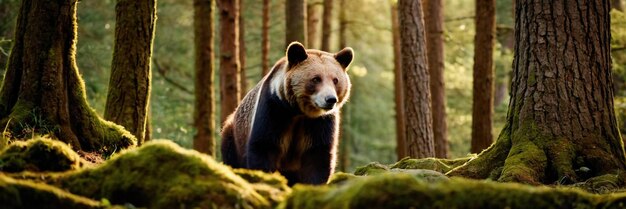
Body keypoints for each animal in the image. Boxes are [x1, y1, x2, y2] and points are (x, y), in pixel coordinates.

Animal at [219, 42, 352, 185]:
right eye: (316, 79)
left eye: (335, 80)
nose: (330, 99)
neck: (299, 111)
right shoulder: (274, 110)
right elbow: (264, 146)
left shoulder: (319, 122)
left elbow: (318, 154)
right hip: (234, 136)